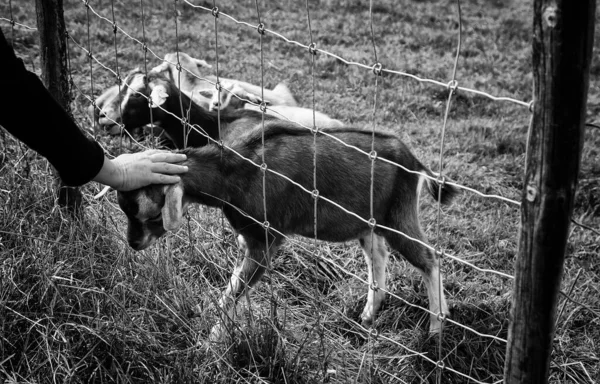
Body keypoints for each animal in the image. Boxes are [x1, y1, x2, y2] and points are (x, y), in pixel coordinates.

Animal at [117, 121, 458, 340]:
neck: (235, 171)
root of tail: (412, 160)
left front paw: (211, 342)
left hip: (398, 215)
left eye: (152, 214)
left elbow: (232, 294)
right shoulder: (247, 239)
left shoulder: (265, 240)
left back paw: (436, 328)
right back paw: (368, 314)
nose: (133, 243)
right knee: (379, 256)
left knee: (429, 258)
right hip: (370, 221)